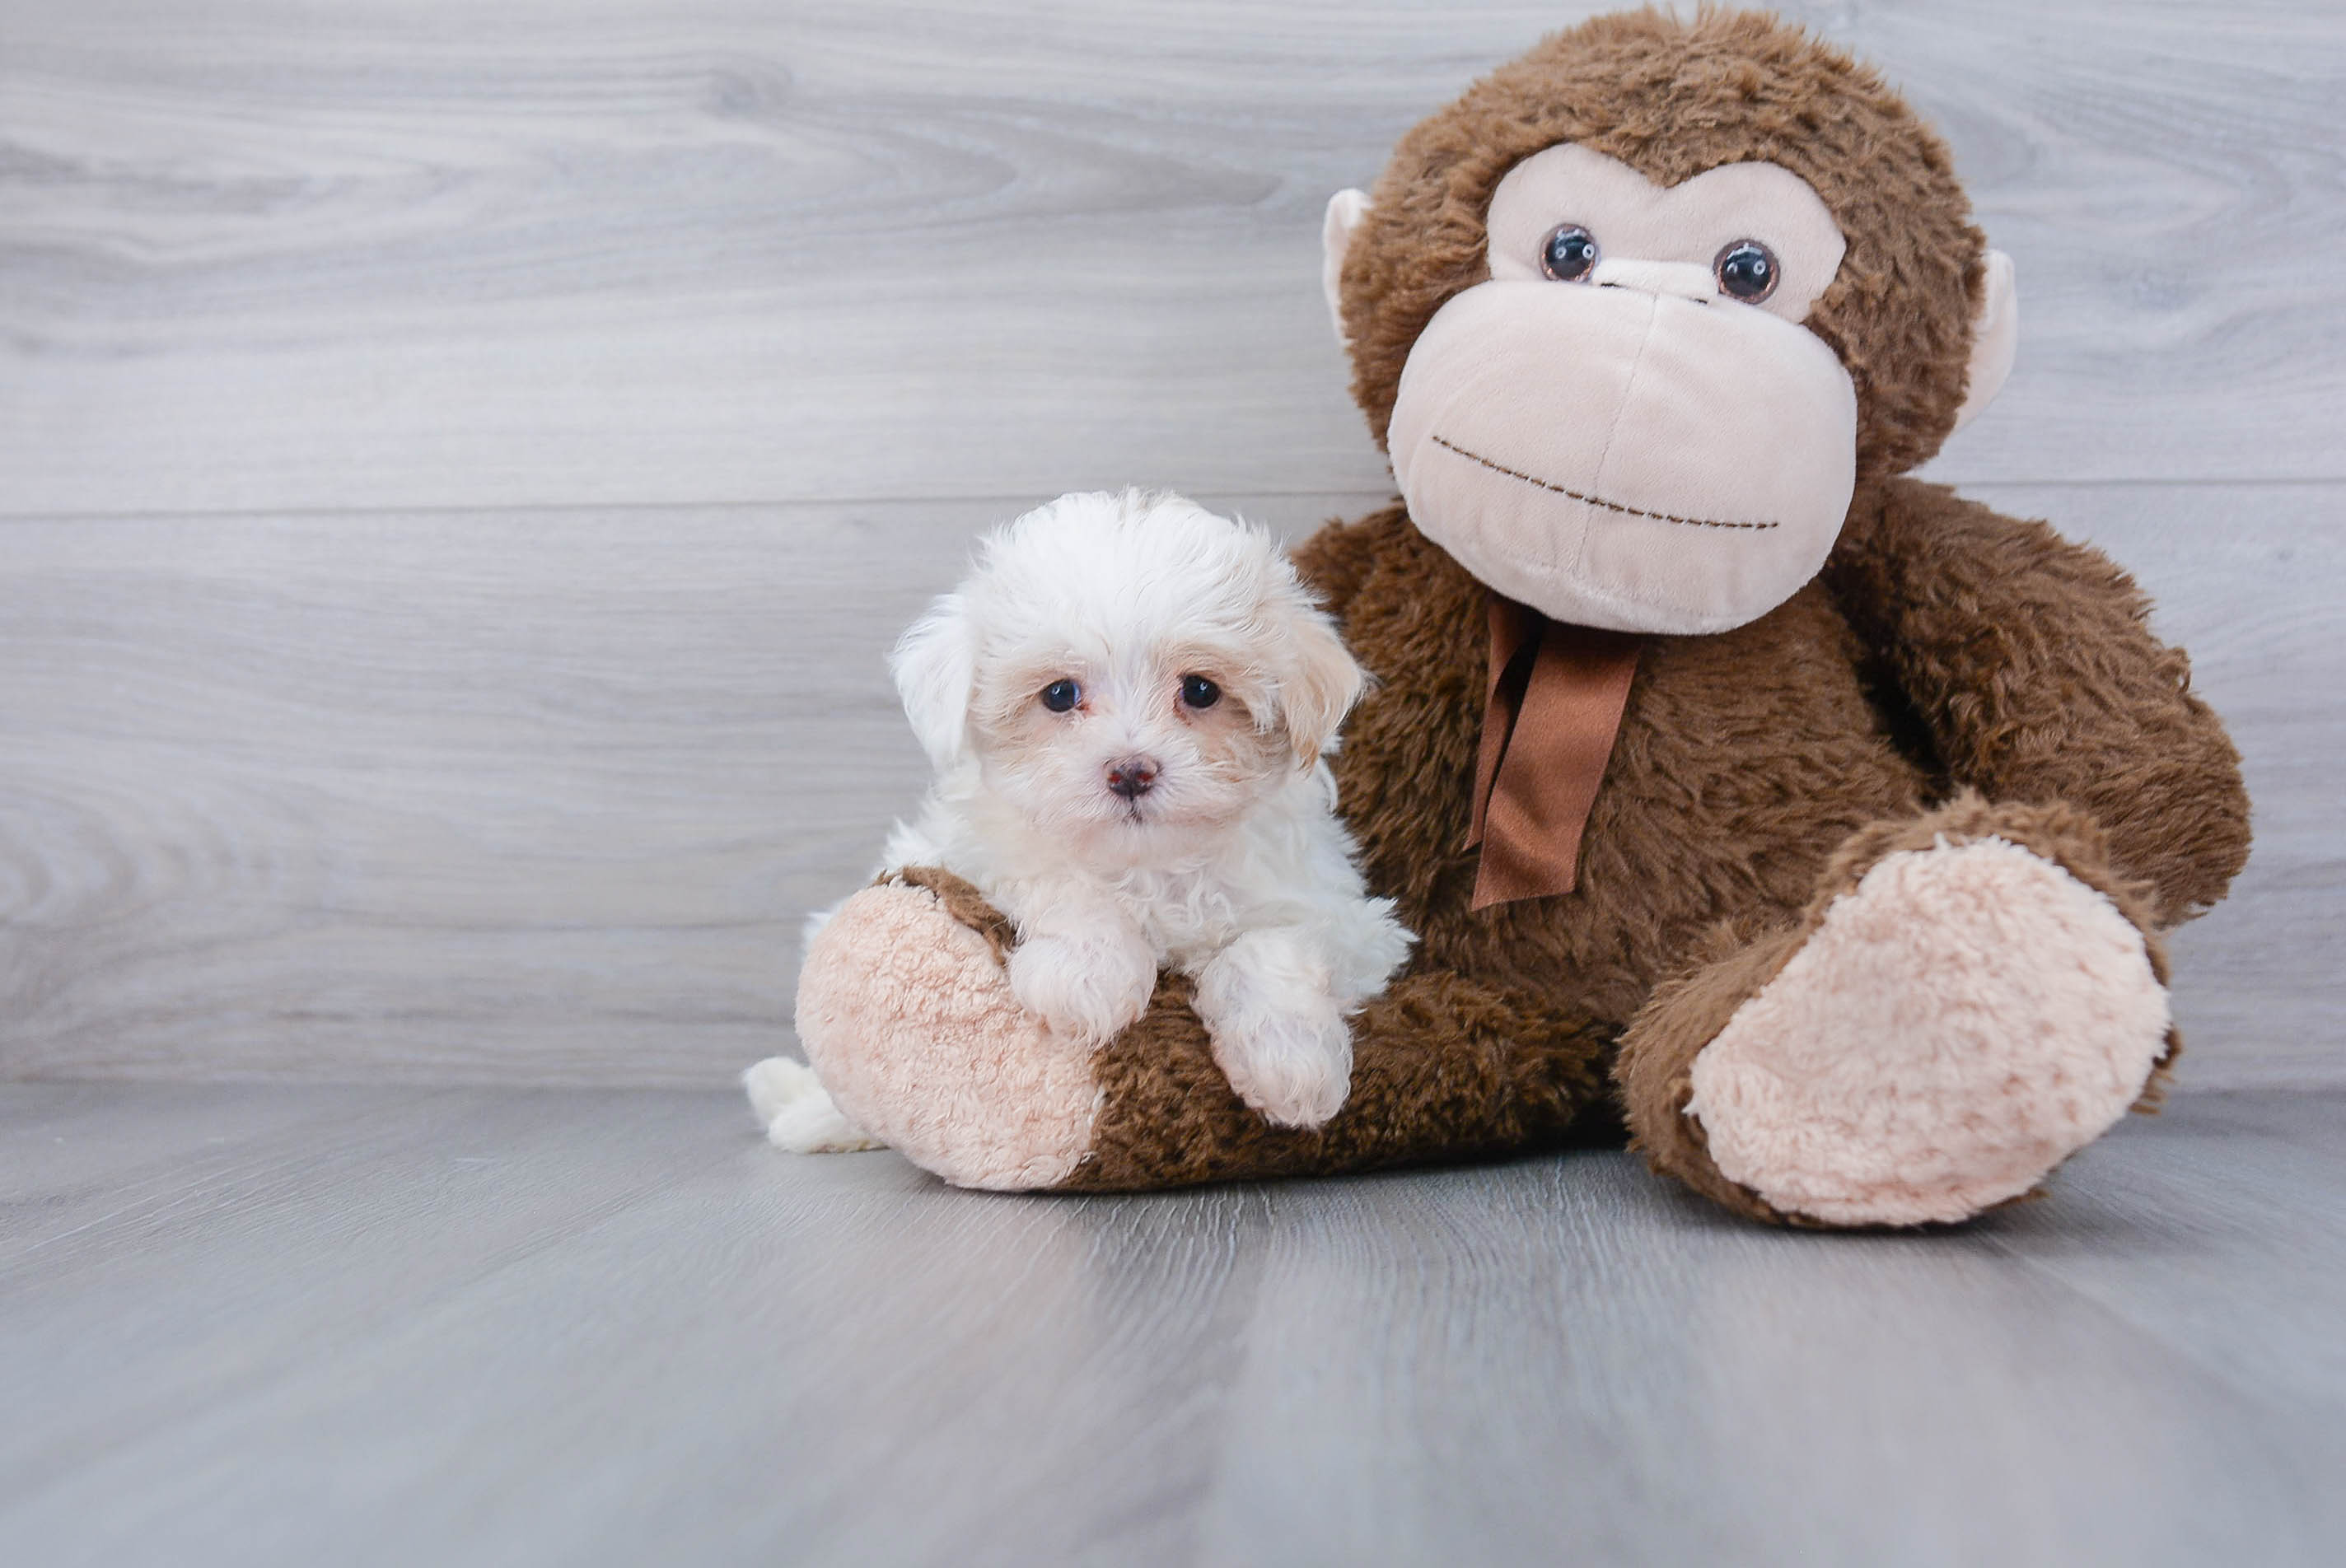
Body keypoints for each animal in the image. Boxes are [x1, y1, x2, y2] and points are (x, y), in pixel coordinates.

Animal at [750, 483, 1407, 1143]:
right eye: (1060, 695)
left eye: (1200, 690)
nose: (1131, 772)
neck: (1149, 867)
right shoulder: (970, 854)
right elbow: (1058, 879)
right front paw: (1085, 977)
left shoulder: (1353, 923)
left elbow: (1273, 945)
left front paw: (1290, 1063)